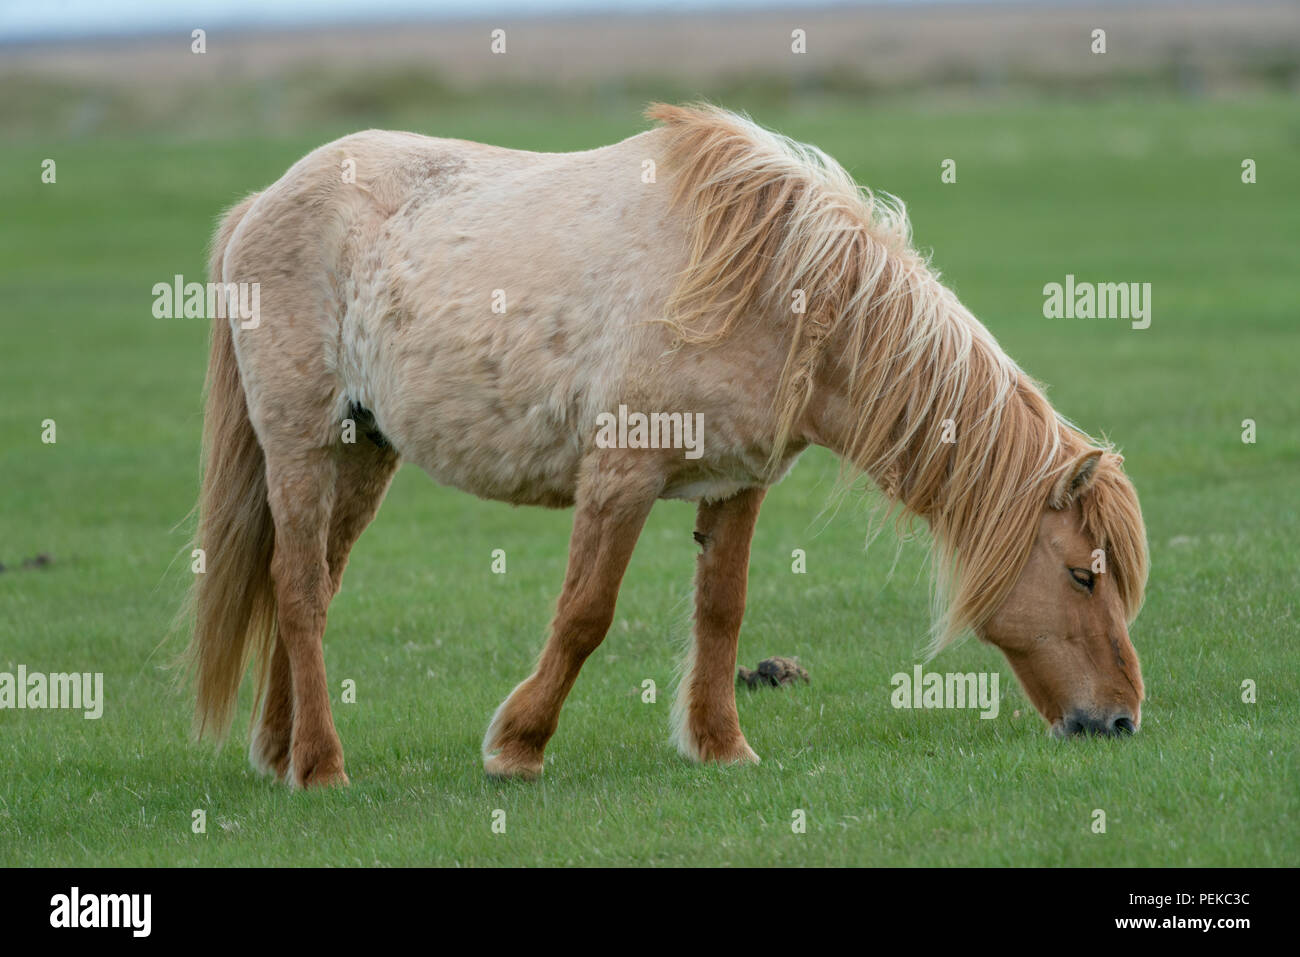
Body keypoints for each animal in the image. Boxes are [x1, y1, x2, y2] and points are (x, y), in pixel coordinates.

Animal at [185, 103, 1149, 788]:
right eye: (1082, 574)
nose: (1121, 722)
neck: (769, 286)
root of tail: (261, 205)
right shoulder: (619, 478)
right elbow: (585, 614)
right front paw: (518, 745)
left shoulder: (735, 486)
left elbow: (721, 611)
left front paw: (721, 744)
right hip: (302, 448)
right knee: (300, 592)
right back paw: (321, 766)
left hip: (363, 452)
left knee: (307, 583)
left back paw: (280, 750)